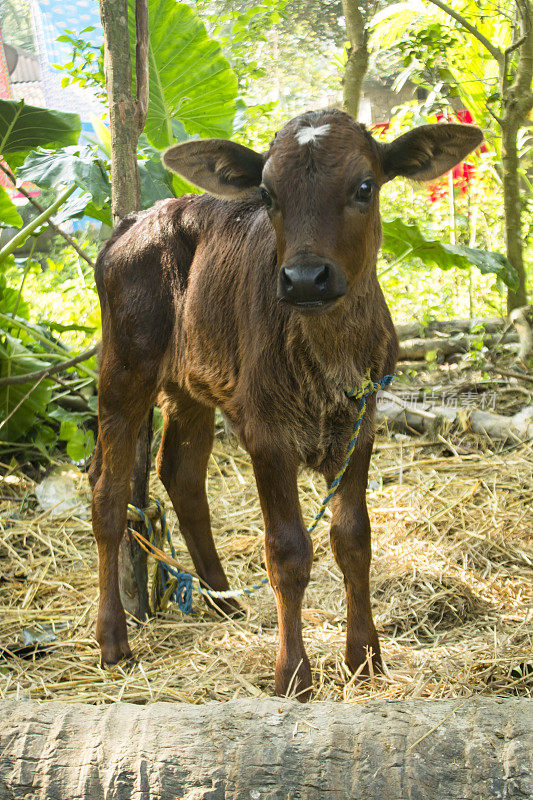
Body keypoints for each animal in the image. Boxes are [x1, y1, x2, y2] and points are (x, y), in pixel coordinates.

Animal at [90, 109, 482, 696]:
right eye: (268, 193)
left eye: (365, 187)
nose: (304, 278)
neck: (330, 357)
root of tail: (134, 220)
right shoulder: (266, 434)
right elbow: (288, 552)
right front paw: (293, 673)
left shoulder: (362, 427)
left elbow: (354, 540)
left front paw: (365, 657)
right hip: (125, 364)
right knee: (108, 494)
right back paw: (113, 638)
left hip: (190, 382)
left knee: (181, 472)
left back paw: (222, 601)